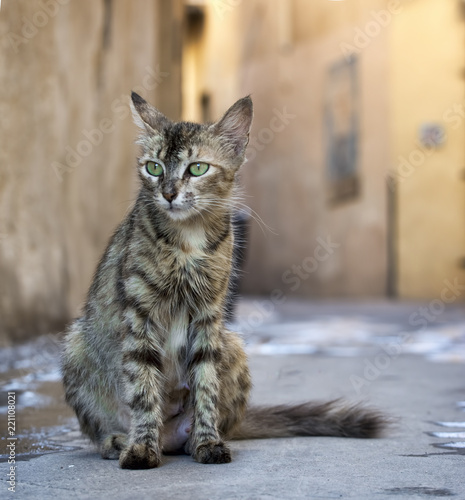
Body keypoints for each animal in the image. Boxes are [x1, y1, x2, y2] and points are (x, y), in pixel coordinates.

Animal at [62, 93, 388, 468]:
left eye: (197, 169)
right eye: (154, 168)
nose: (169, 193)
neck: (187, 242)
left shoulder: (209, 317)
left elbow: (206, 386)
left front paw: (207, 442)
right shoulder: (140, 314)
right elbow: (143, 388)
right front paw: (142, 448)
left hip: (232, 344)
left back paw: (193, 439)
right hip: (76, 345)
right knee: (103, 427)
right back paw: (120, 440)